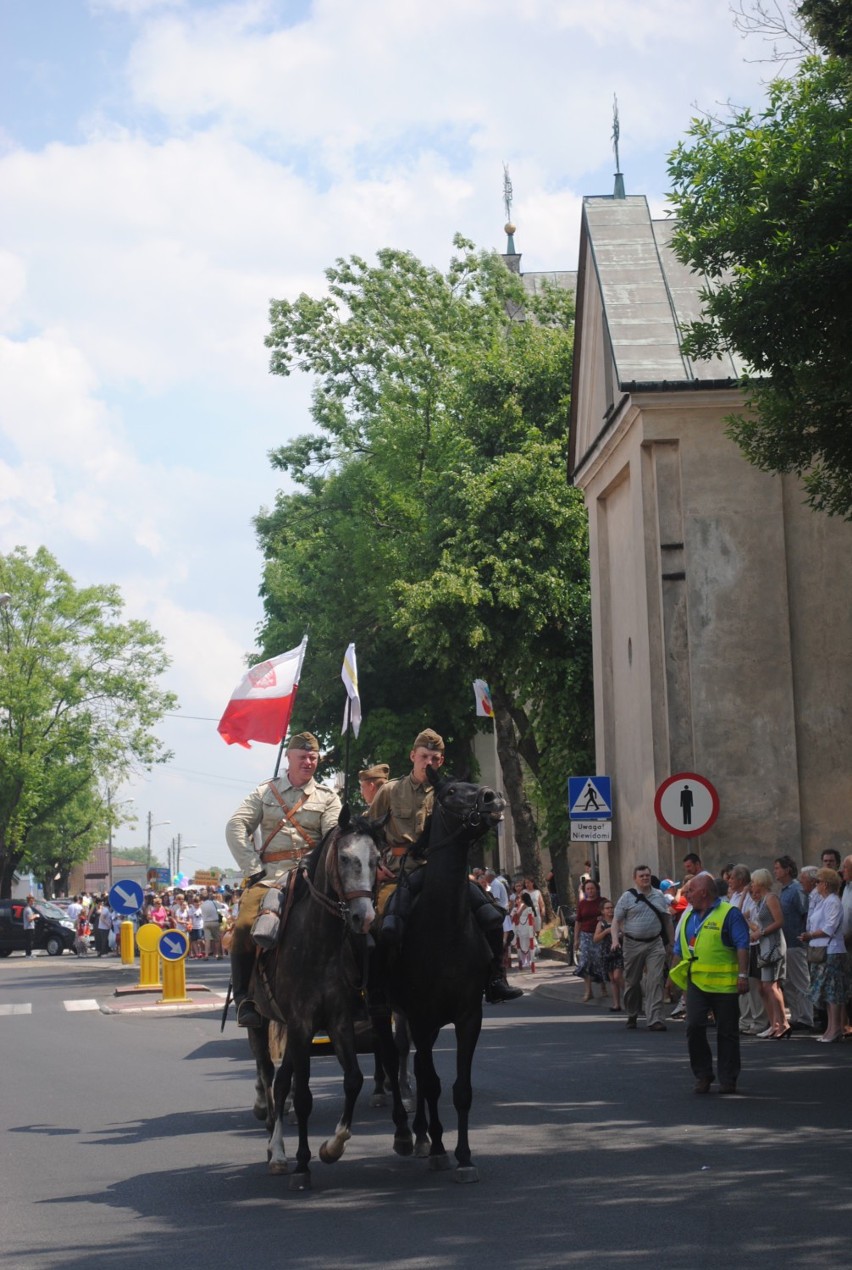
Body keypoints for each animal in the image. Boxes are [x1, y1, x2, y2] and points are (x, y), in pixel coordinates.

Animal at [246, 807, 413, 1183]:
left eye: (377, 859)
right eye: (346, 857)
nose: (364, 916)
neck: (317, 944)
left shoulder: (337, 1021)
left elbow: (352, 1079)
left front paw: (332, 1147)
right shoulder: (301, 1022)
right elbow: (304, 1096)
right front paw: (303, 1164)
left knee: (283, 1081)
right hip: (266, 1023)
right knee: (271, 1077)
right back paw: (277, 1148)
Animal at [380, 767, 507, 1183]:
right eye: (451, 792)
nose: (492, 798)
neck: (445, 929)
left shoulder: (469, 1017)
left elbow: (460, 1088)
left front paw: (463, 1156)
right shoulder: (421, 1017)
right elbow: (431, 1082)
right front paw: (438, 1149)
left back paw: (421, 1135)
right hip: (390, 1012)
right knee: (399, 1061)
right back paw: (410, 1135)